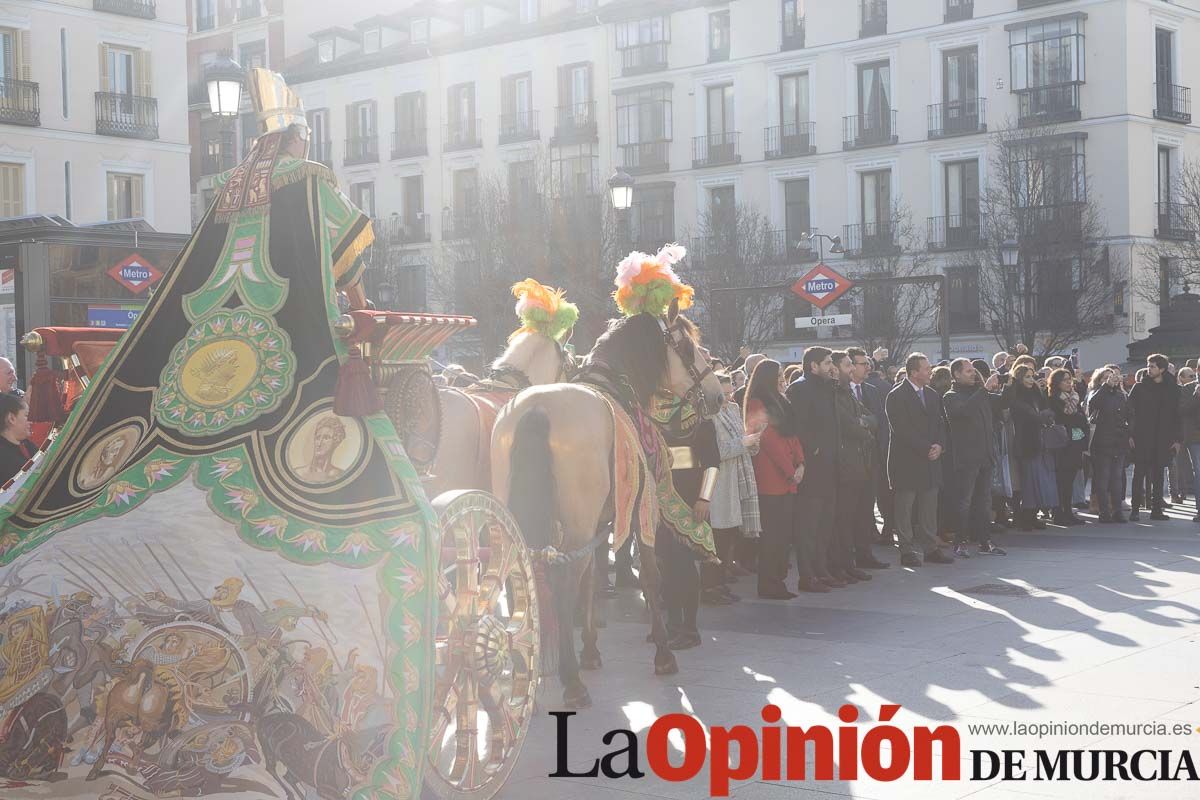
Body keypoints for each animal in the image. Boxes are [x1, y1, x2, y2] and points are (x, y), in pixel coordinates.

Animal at [489, 303, 720, 710]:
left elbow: (593, 579)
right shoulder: (642, 510)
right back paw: (571, 680)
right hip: (576, 524)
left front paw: (592, 650)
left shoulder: (599, 525)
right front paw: (663, 653)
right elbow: (649, 574)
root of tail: (536, 408)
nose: (719, 393)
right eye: (689, 348)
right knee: (564, 582)